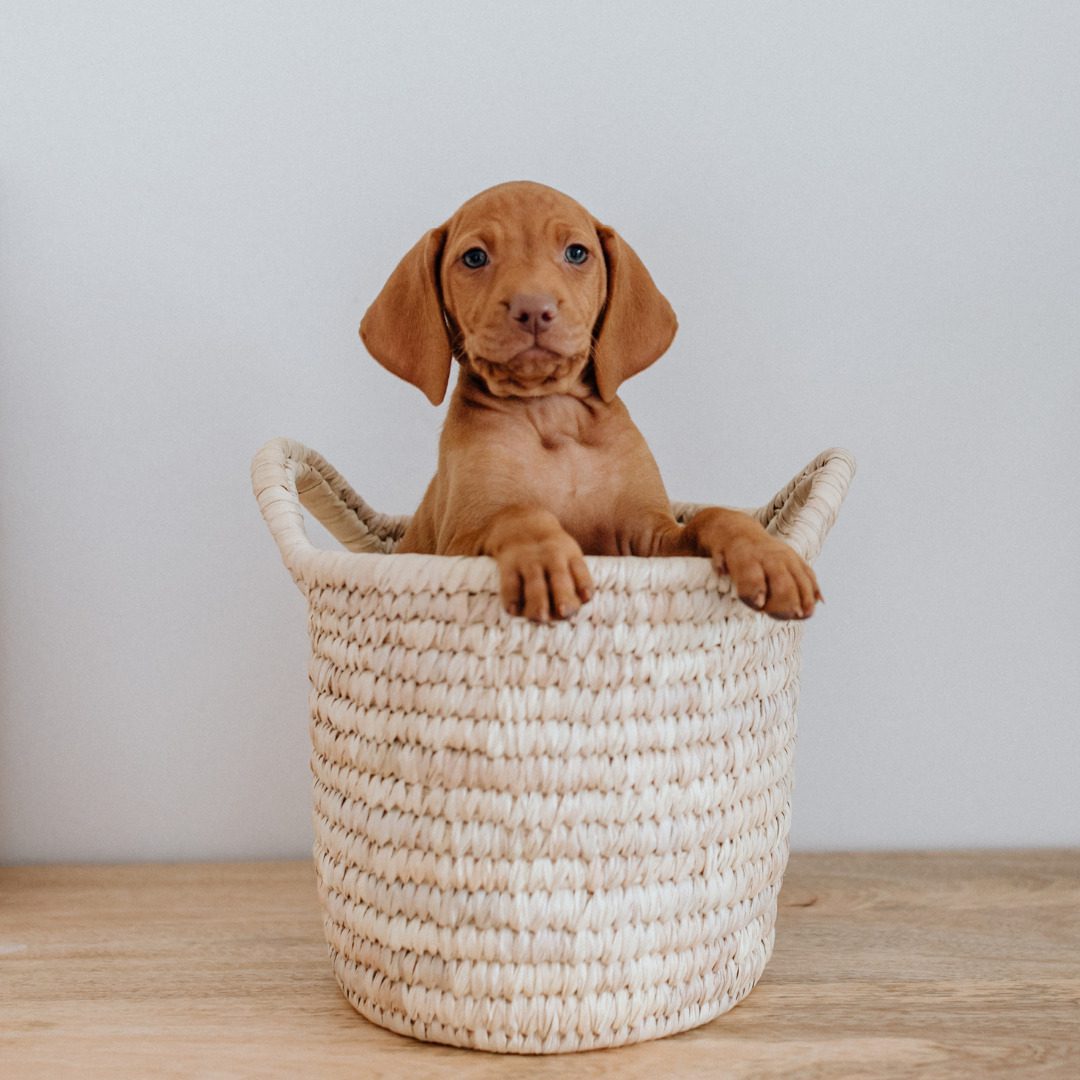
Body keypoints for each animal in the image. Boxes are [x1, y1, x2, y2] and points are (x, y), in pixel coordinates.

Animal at [358, 182, 820, 626]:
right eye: (474, 258)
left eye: (576, 253)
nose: (533, 309)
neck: (551, 413)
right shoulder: (456, 543)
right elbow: (518, 514)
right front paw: (543, 560)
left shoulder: (650, 535)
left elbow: (713, 517)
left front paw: (767, 555)